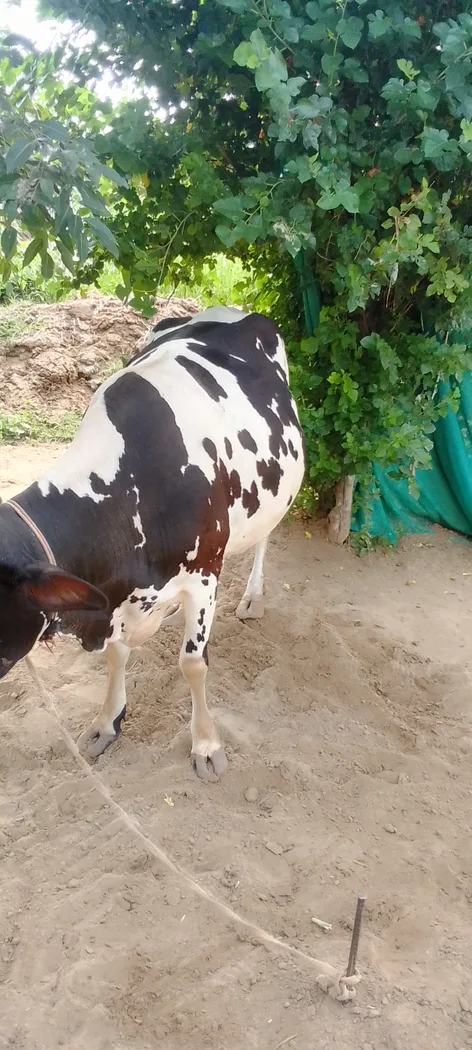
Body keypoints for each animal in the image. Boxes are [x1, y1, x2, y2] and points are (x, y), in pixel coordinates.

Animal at [0, 306, 304, 779]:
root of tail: (230, 311)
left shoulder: (203, 574)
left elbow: (193, 663)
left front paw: (206, 745)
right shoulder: (111, 597)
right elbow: (116, 655)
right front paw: (107, 723)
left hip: (273, 489)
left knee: (264, 535)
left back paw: (253, 596)